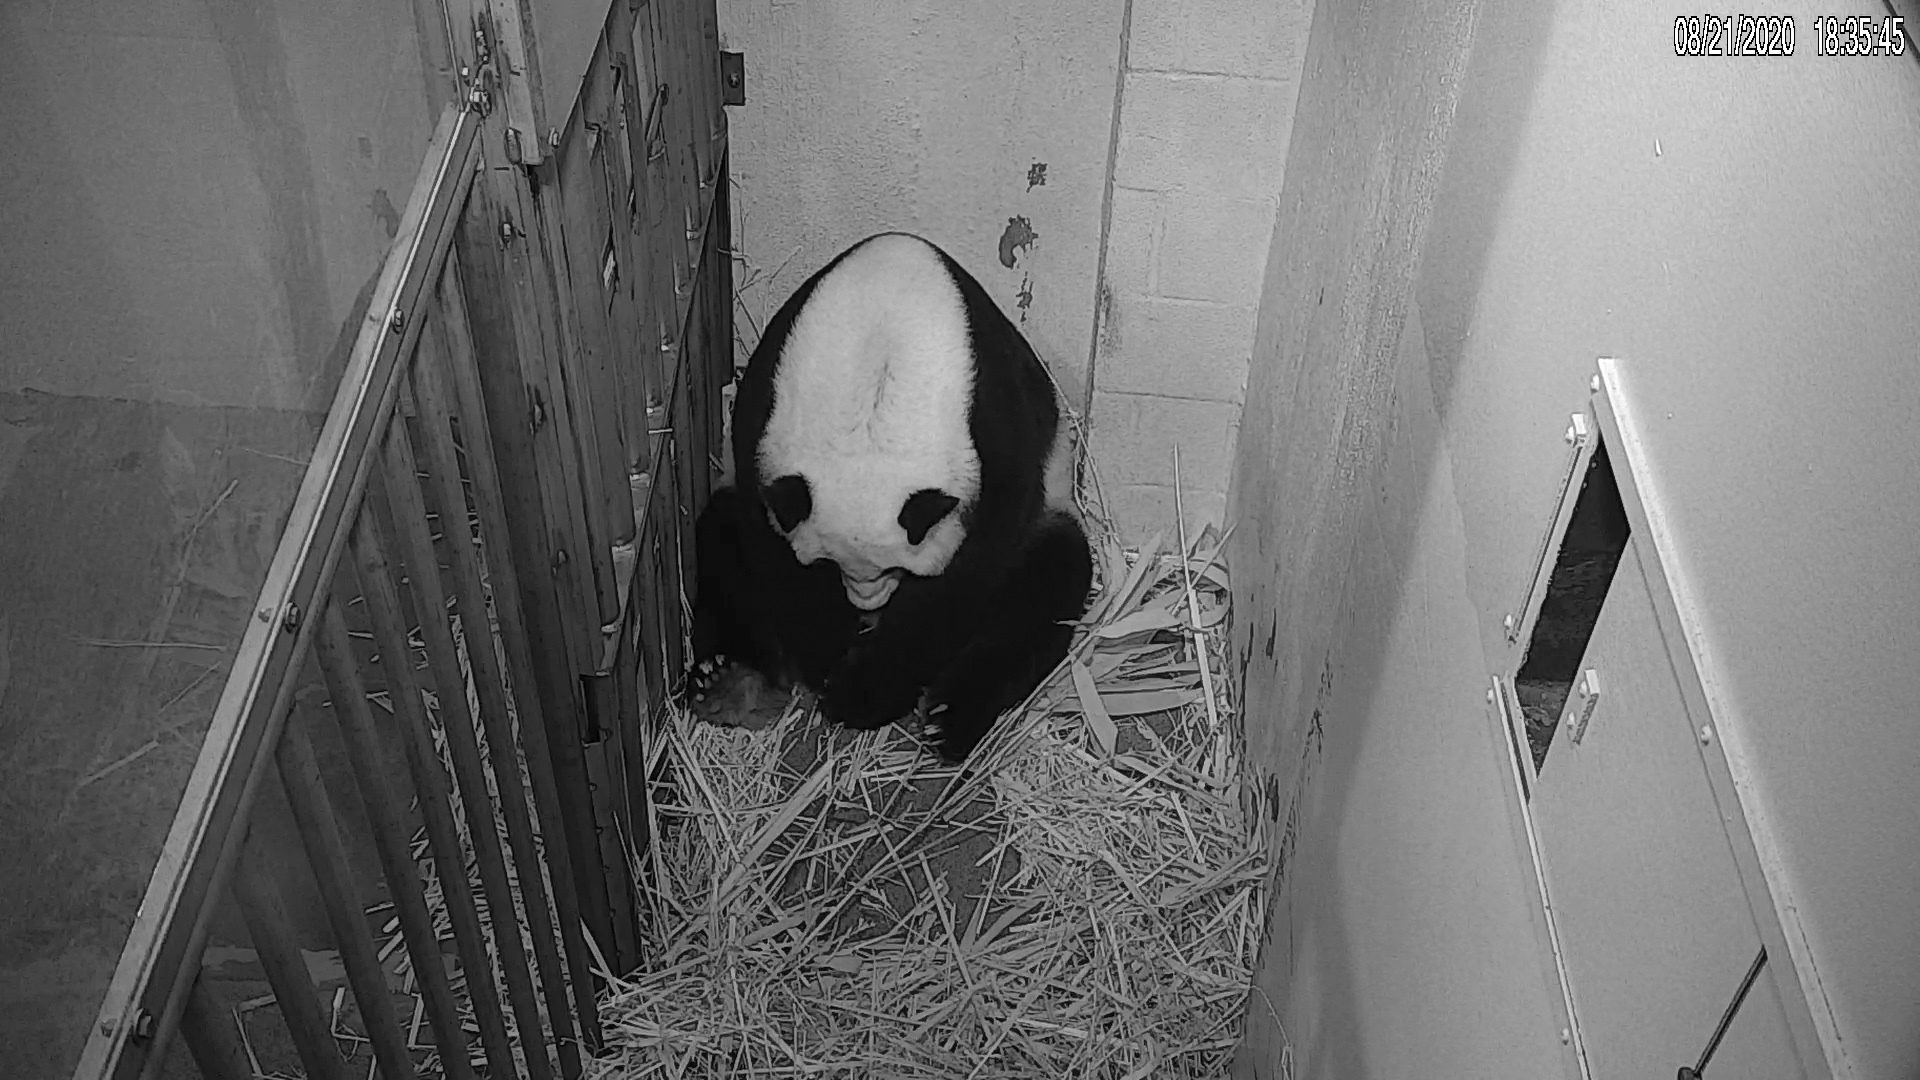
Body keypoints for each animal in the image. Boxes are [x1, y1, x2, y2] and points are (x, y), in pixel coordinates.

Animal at [691, 231, 1090, 760]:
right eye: (828, 563)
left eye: (896, 569)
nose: (866, 604)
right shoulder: (764, 415)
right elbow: (772, 553)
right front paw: (829, 655)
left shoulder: (994, 430)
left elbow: (972, 572)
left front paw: (863, 689)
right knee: (721, 542)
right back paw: (734, 687)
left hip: (1055, 508)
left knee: (1046, 588)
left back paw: (951, 718)